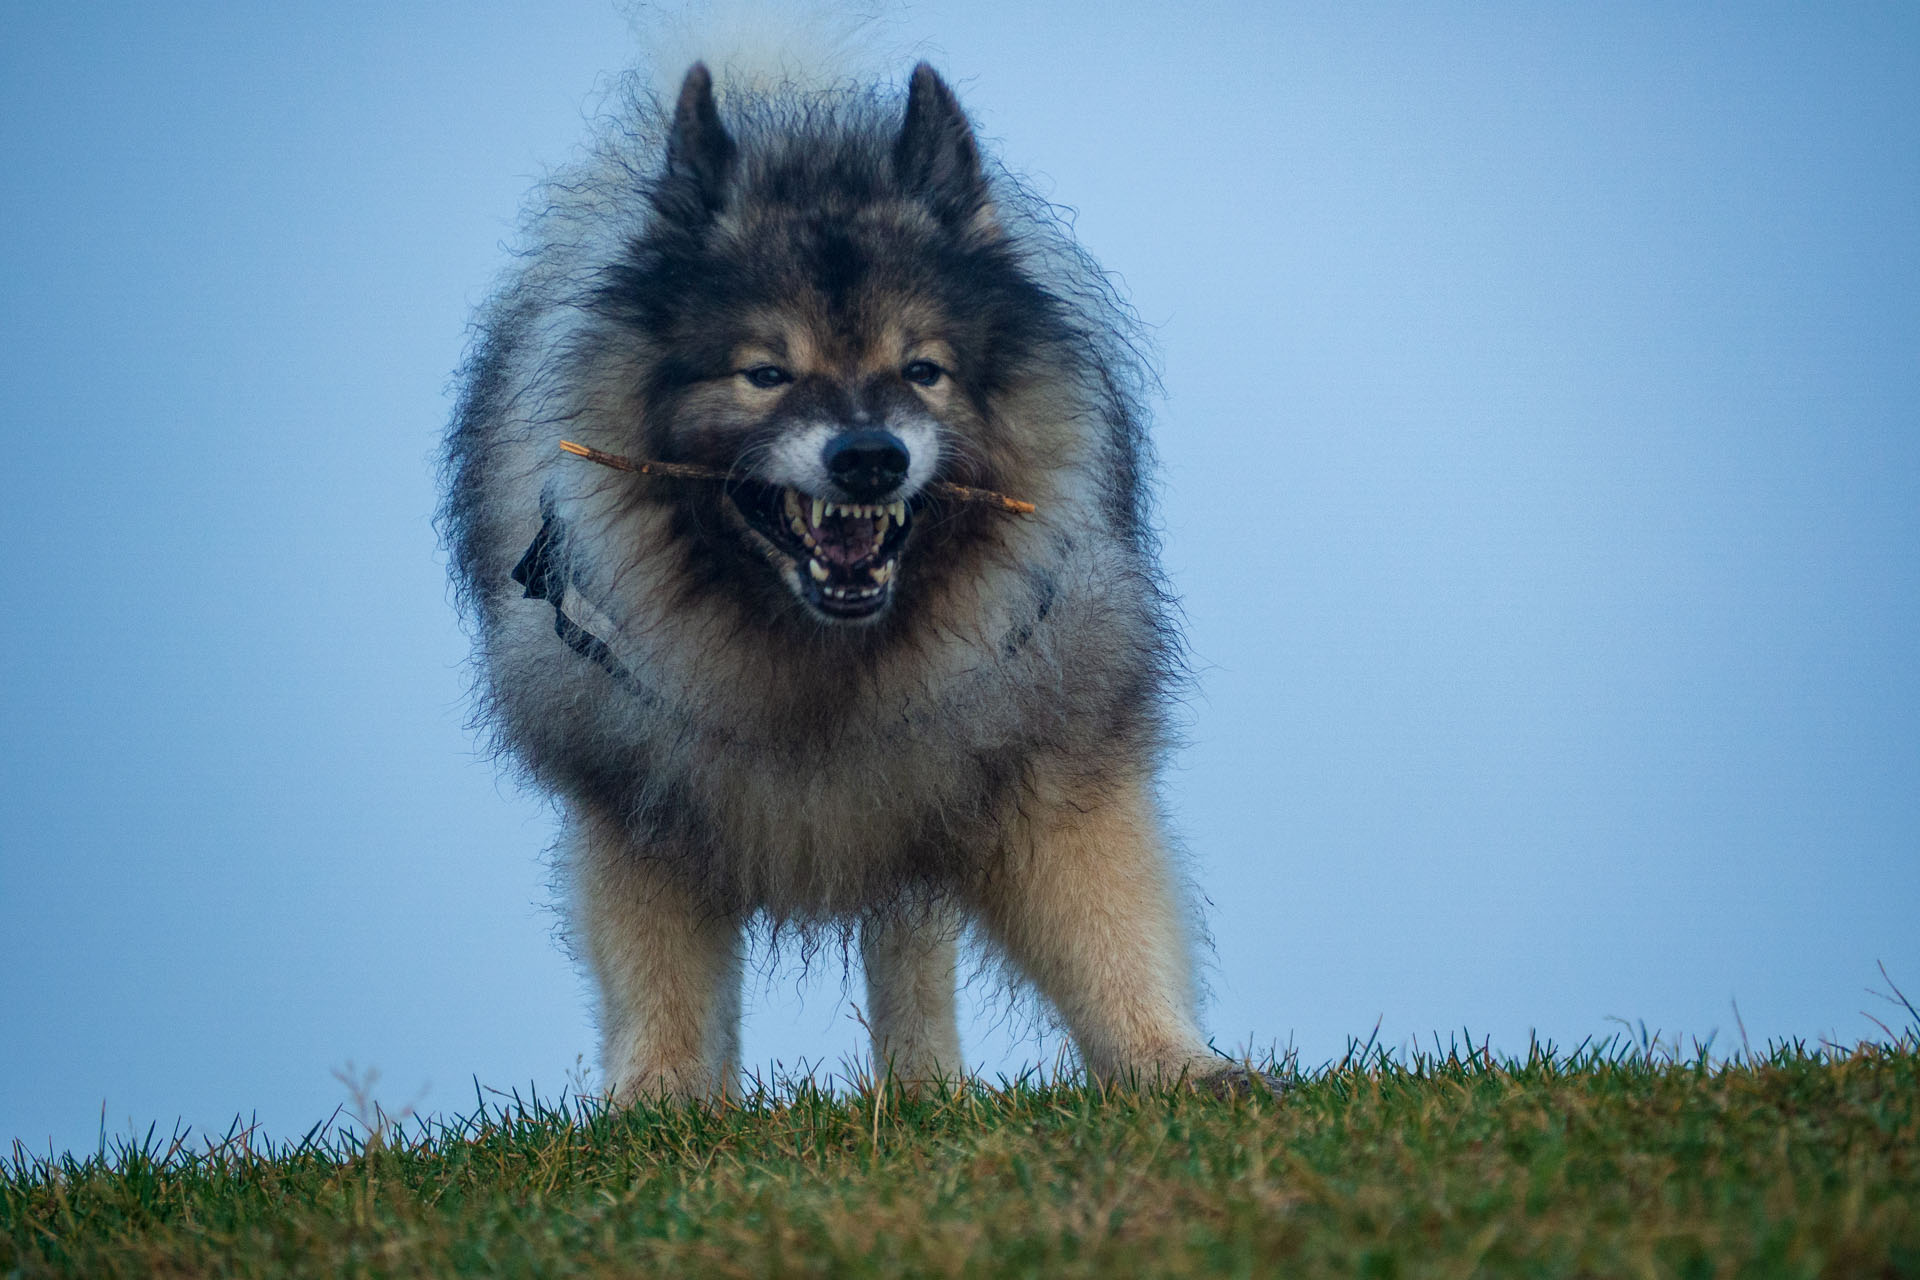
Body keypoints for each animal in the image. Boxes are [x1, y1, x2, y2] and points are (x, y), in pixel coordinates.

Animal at [439, 40, 1267, 1105]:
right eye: (765, 373)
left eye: (923, 370)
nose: (869, 456)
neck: (820, 658)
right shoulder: (640, 795)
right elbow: (667, 980)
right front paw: (660, 1105)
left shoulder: (1033, 751)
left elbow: (1103, 926)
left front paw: (1177, 1065)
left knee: (908, 940)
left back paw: (926, 1092)